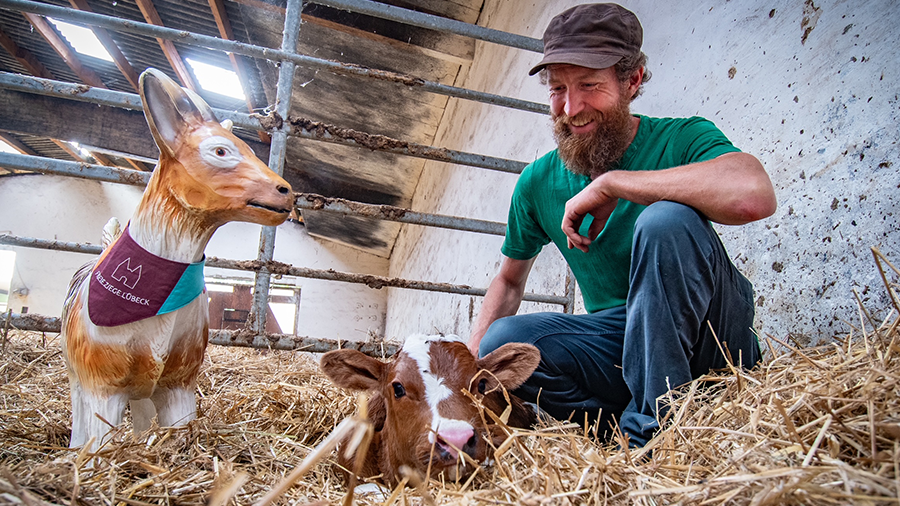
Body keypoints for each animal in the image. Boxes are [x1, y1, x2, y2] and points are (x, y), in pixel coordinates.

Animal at [61, 68, 294, 450]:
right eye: (220, 151)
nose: (286, 192)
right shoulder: (102, 384)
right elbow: (98, 439)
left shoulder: (179, 381)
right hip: (78, 373)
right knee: (79, 411)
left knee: (141, 414)